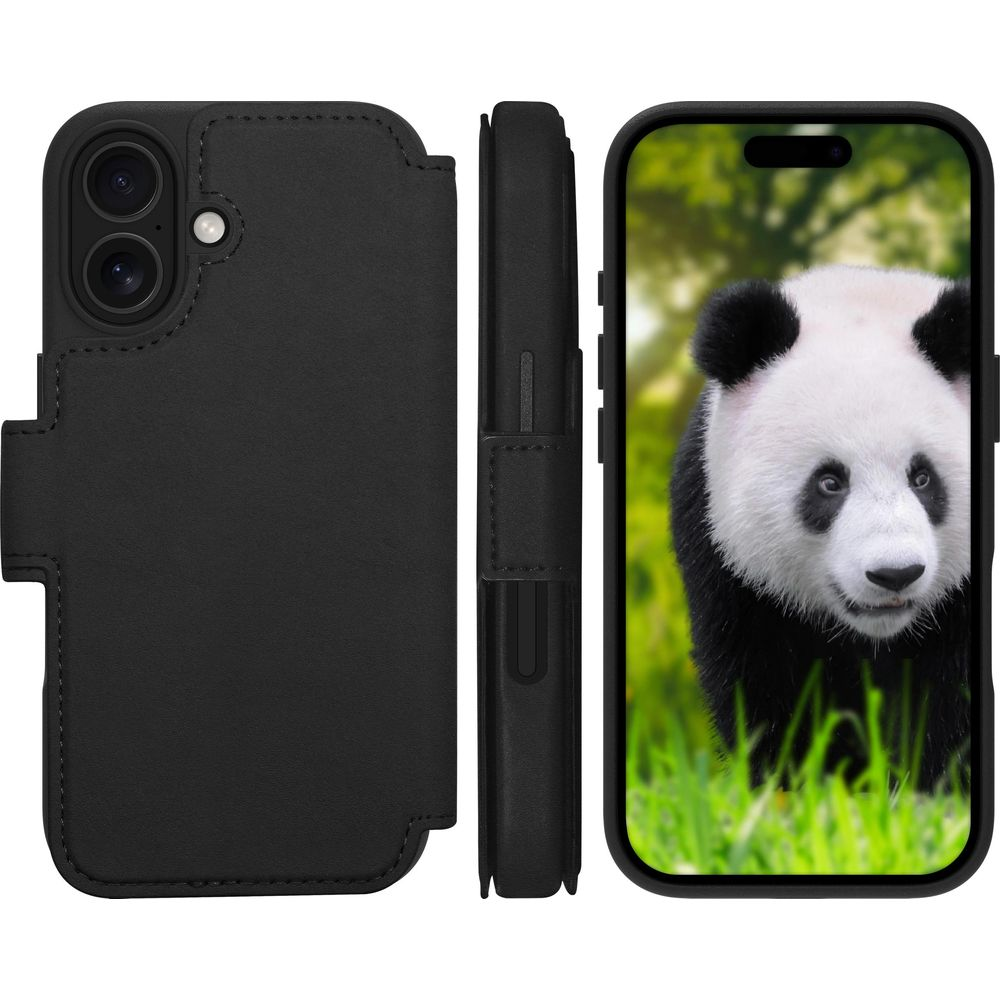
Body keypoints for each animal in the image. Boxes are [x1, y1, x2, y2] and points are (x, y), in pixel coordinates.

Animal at [670, 264, 972, 787]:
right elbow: (768, 686)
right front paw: (805, 785)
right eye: (830, 482)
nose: (895, 574)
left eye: (922, 478)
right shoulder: (726, 560)